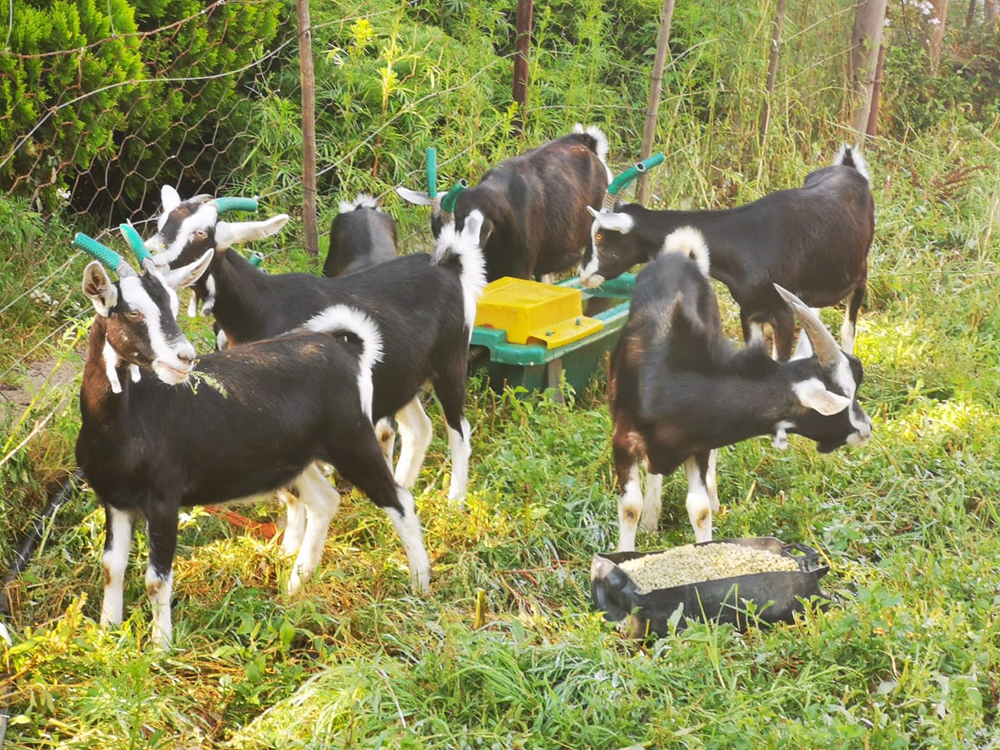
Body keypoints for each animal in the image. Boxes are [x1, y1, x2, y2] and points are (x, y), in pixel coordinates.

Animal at [72, 234, 431, 649]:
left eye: (173, 305)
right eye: (132, 313)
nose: (185, 357)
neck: (124, 422)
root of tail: (343, 349)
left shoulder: (163, 498)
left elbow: (155, 580)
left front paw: (161, 647)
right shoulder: (114, 500)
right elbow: (111, 567)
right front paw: (107, 633)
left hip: (352, 439)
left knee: (399, 500)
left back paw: (420, 584)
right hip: (298, 458)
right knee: (326, 501)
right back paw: (296, 584)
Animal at [139, 189, 487, 515]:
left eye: (200, 233)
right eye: (161, 223)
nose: (150, 261)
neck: (264, 307)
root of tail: (450, 265)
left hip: (451, 360)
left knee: (459, 429)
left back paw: (455, 499)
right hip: (404, 375)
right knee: (418, 428)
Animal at [583, 145, 875, 358]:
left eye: (600, 236)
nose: (584, 275)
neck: (747, 241)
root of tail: (849, 168)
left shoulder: (783, 313)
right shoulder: (750, 311)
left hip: (859, 274)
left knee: (848, 331)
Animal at [608, 227, 872, 551]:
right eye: (844, 394)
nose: (867, 428)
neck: (671, 385)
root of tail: (679, 255)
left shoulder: (699, 444)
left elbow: (699, 509)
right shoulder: (623, 440)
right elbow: (629, 507)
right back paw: (650, 518)